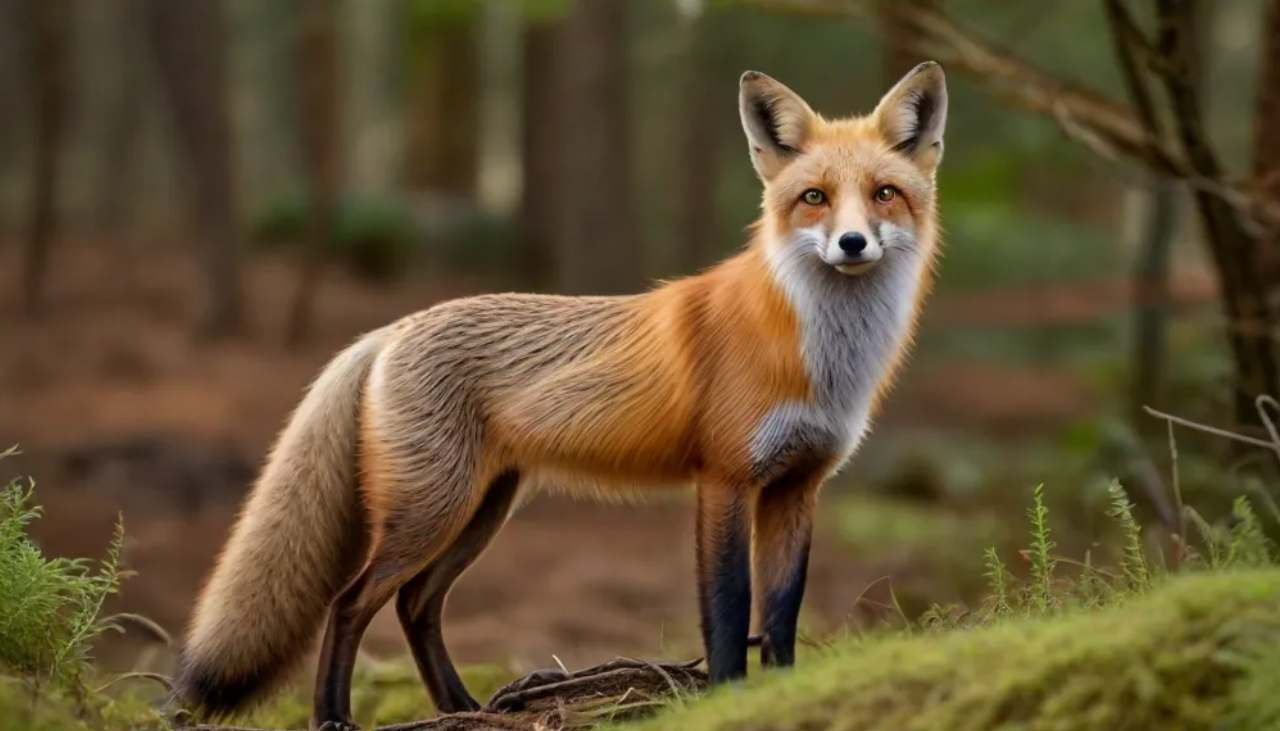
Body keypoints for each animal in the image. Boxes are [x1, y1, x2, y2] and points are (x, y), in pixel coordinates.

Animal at [175, 62, 947, 730]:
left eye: (884, 193)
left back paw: (465, 707)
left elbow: (782, 614)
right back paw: (334, 715)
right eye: (814, 198)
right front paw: (731, 699)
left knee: (417, 605)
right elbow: (729, 611)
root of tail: (394, 327)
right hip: (430, 510)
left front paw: (785, 696)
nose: (852, 243)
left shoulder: (797, 486)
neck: (818, 355)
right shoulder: (725, 479)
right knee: (349, 602)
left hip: (482, 509)